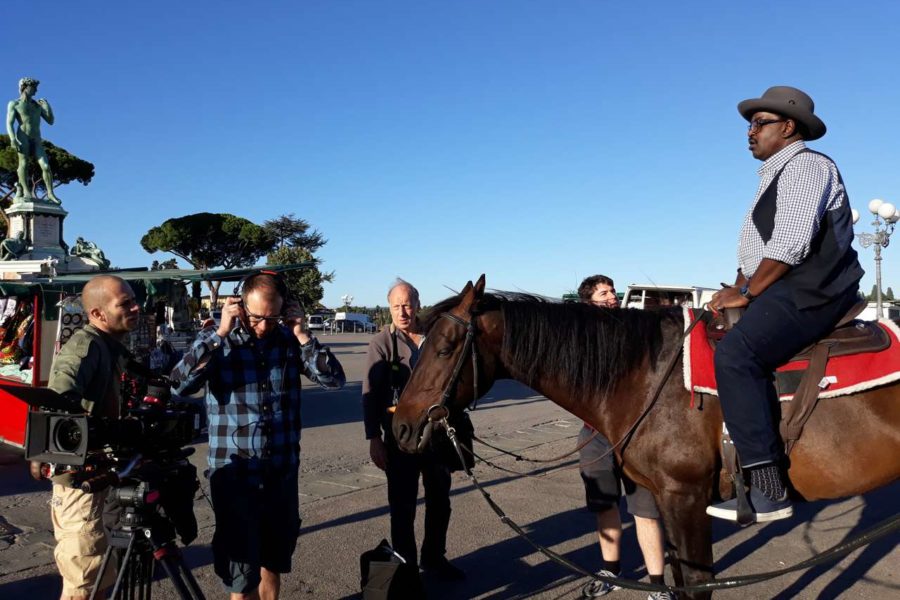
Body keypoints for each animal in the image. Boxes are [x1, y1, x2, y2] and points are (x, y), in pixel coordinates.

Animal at [392, 278, 900, 600]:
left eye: (443, 349)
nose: (401, 426)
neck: (647, 376)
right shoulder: (666, 499)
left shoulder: (686, 497)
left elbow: (694, 585)